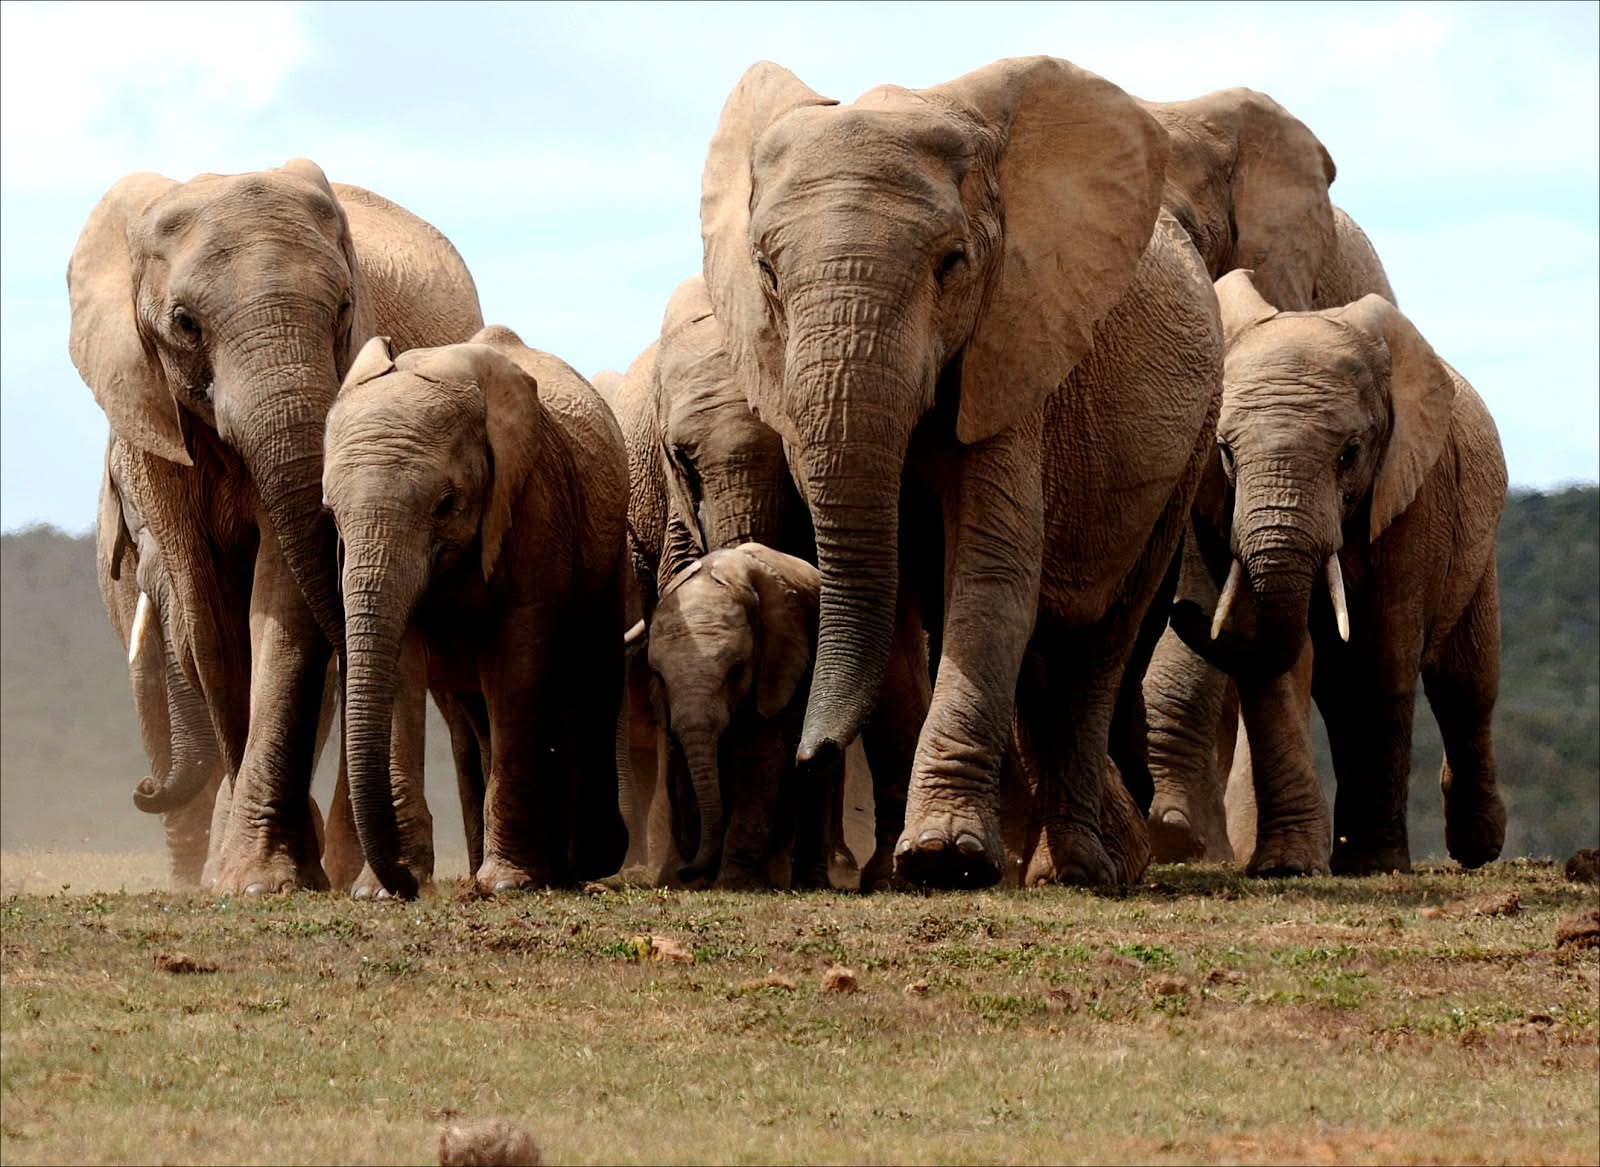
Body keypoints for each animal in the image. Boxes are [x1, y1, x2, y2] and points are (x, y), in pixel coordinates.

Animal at [67, 159, 483, 894]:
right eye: (184, 323)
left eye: (345, 309)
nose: (143, 789)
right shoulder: (150, 421)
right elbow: (206, 615)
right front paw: (256, 874)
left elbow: (282, 600)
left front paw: (263, 877)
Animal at [322, 326, 630, 896]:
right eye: (331, 513)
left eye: (445, 505)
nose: (409, 886)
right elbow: (402, 670)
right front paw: (378, 892)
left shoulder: (535, 506)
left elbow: (516, 669)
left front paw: (506, 884)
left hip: (610, 552)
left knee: (589, 680)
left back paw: (584, 865)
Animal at [700, 56, 1223, 888]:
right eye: (767, 273)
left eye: (952, 265)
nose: (811, 752)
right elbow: (900, 601)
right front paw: (904, 872)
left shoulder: (1015, 349)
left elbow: (992, 573)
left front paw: (944, 858)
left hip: (1193, 435)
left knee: (1103, 637)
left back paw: (1081, 868)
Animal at [1163, 270, 1507, 876]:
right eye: (1224, 452)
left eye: (1349, 453)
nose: (1182, 608)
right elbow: (1279, 659)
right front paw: (1287, 866)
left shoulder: (1417, 499)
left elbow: (1385, 654)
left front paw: (1376, 864)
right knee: (1342, 693)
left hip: (1478, 539)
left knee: (1466, 685)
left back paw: (1477, 850)